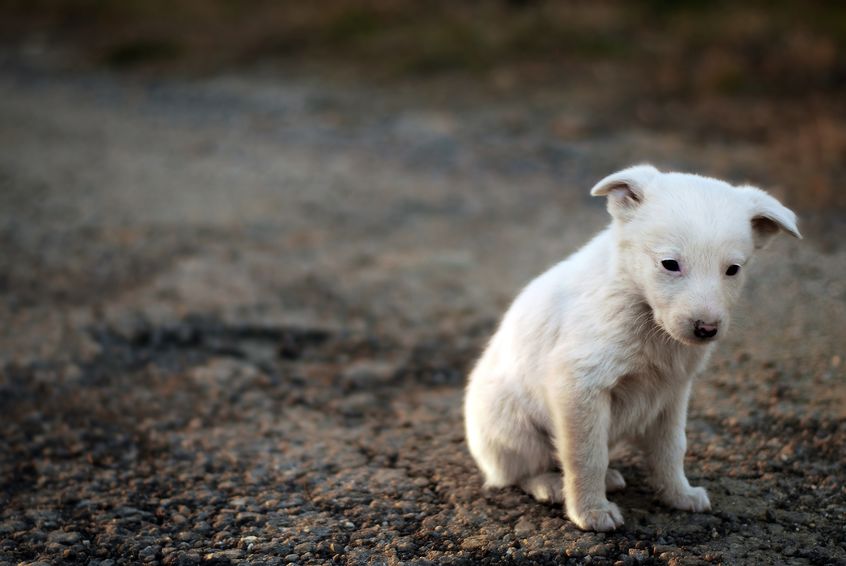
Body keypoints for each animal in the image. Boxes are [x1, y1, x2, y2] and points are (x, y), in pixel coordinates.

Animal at [464, 164, 800, 532]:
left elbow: (671, 449)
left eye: (733, 270)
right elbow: (586, 456)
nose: (706, 330)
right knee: (519, 472)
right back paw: (550, 484)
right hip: (512, 426)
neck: (643, 311)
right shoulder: (580, 386)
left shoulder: (673, 393)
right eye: (670, 264)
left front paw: (679, 495)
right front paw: (591, 512)